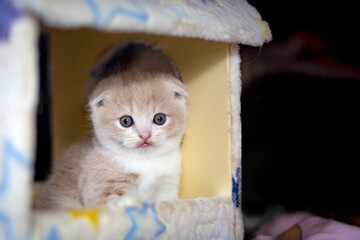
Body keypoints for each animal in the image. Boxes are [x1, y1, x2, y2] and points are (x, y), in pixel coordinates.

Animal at [35, 70, 188, 209]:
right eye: (126, 121)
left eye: (159, 118)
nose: (145, 135)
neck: (145, 161)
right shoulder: (96, 189)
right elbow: (111, 203)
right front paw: (133, 204)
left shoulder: (167, 184)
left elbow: (166, 202)